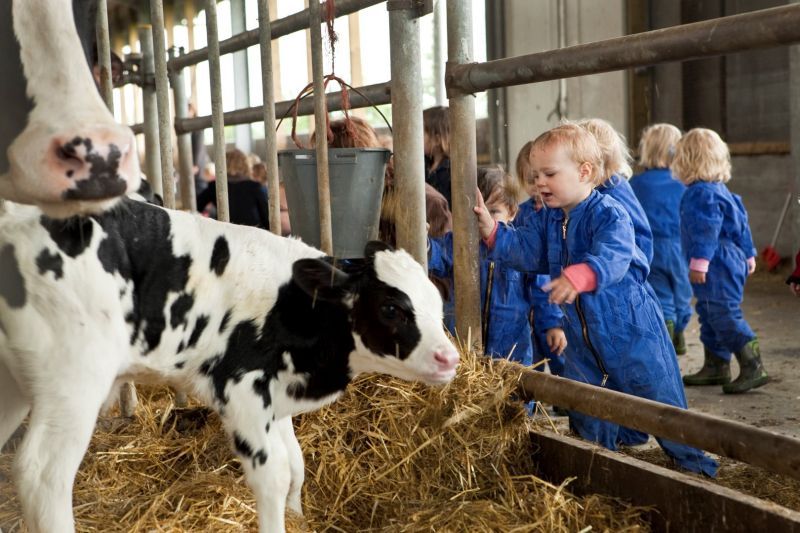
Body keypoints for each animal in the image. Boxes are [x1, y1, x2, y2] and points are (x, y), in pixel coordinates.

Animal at [0, 197, 460, 528]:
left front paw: (298, 515)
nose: (450, 357)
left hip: (16, 384)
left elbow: (296, 464)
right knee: (42, 475)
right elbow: (274, 474)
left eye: (437, 301)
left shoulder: (275, 397)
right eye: (391, 308)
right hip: (74, 379)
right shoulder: (241, 388)